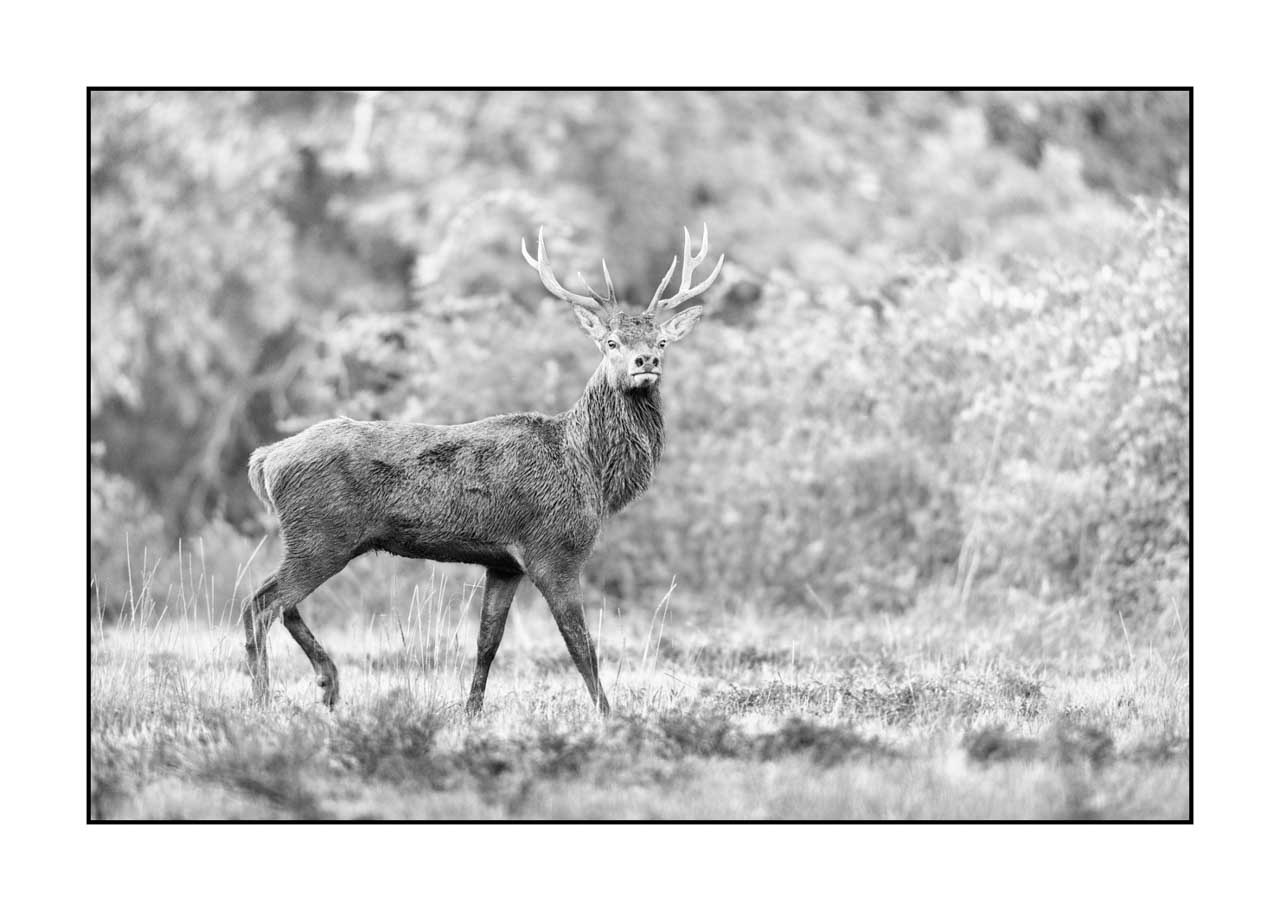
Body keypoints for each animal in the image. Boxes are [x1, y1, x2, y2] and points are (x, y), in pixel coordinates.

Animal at [242, 225, 724, 716]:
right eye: (612, 343)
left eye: (661, 341)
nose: (646, 362)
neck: (590, 469)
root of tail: (265, 459)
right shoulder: (555, 551)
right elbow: (581, 644)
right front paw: (607, 714)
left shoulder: (504, 563)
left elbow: (487, 642)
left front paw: (471, 710)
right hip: (320, 534)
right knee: (260, 604)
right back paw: (264, 697)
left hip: (320, 539)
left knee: (278, 604)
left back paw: (327, 681)